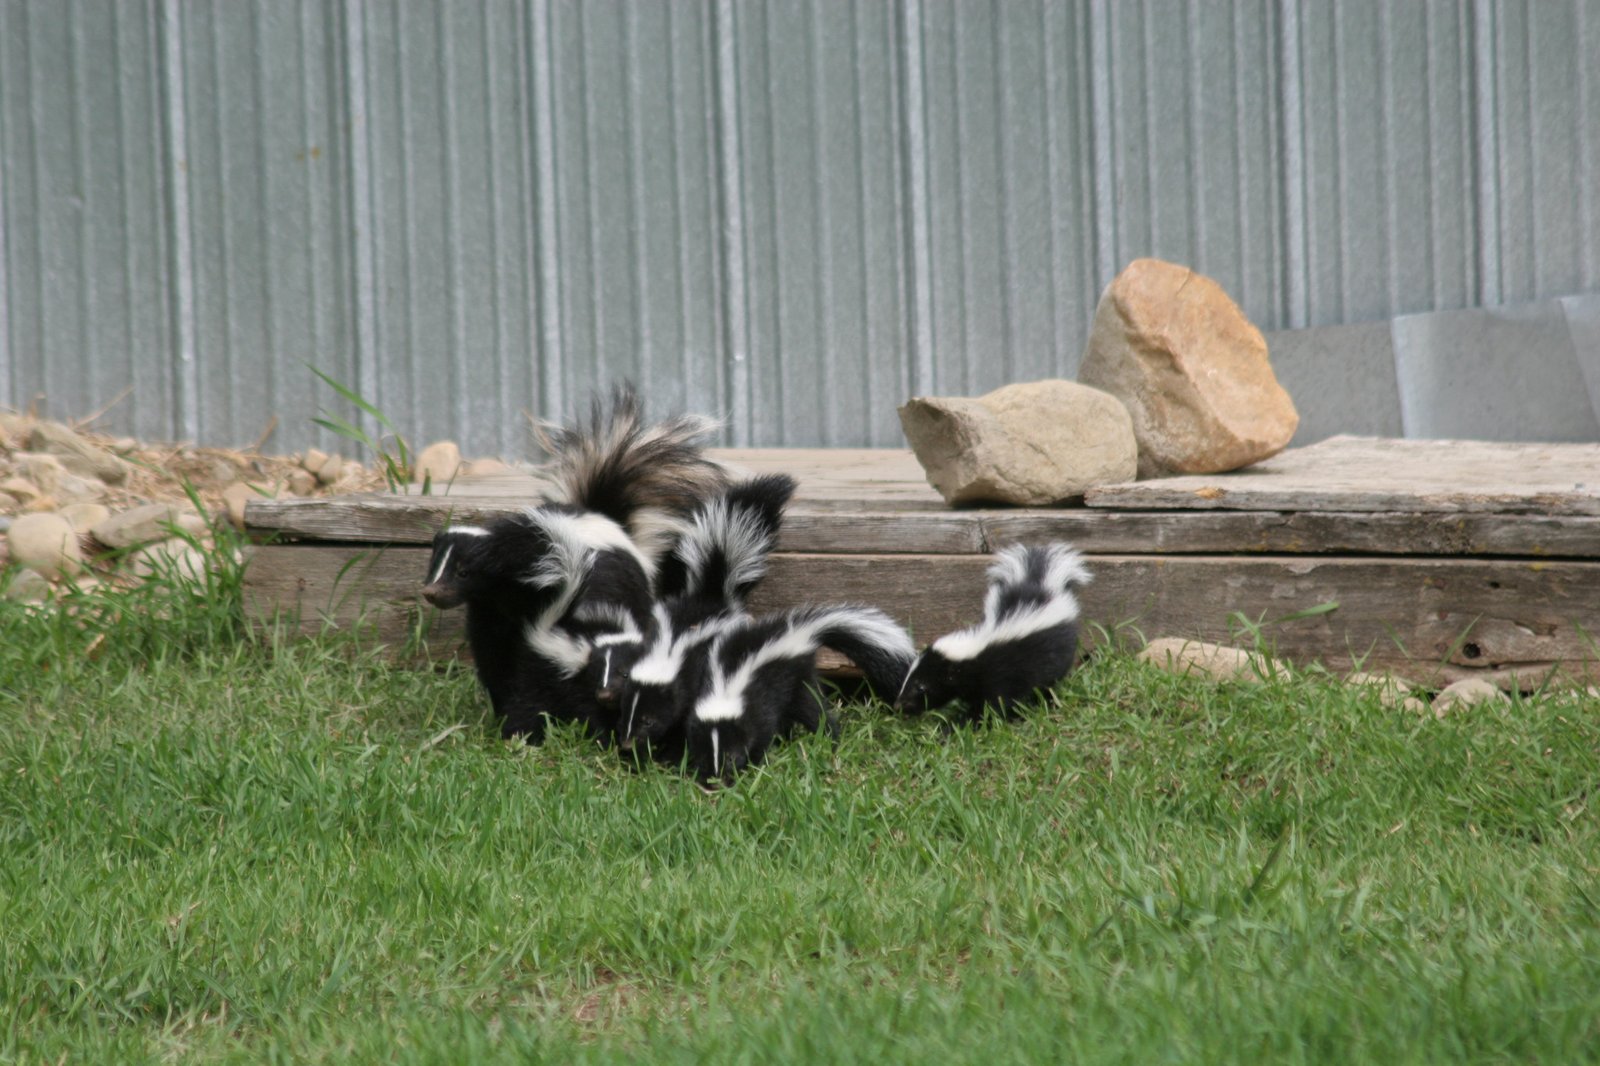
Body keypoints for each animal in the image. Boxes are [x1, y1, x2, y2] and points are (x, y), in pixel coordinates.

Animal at [601, 470, 796, 758]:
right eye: (625, 712)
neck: (669, 651)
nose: (627, 743)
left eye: (649, 720)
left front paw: (671, 751)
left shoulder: (696, 672)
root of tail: (711, 595)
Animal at [684, 601, 915, 784]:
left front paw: (755, 763)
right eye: (704, 755)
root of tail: (800, 631)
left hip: (799, 679)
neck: (725, 685)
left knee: (814, 711)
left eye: (731, 755)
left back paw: (830, 740)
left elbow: (762, 732)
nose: (718, 777)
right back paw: (788, 740)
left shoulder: (757, 701)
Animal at [896, 541, 1094, 723]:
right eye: (908, 680)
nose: (899, 705)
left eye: (921, 687)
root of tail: (1040, 582)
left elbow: (993, 704)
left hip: (1057, 653)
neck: (976, 651)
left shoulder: (999, 675)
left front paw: (961, 724)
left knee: (1050, 681)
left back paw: (1048, 701)